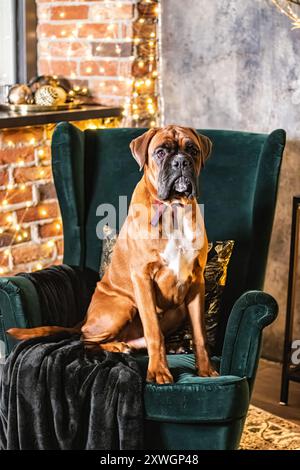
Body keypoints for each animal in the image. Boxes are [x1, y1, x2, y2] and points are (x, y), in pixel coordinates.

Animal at [8, 126, 217, 386]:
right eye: (160, 152)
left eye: (192, 150)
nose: (181, 162)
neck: (172, 209)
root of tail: (83, 319)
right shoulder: (143, 279)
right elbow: (153, 331)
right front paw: (159, 371)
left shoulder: (196, 282)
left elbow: (199, 334)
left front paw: (205, 370)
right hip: (123, 305)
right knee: (84, 340)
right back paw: (115, 346)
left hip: (178, 308)